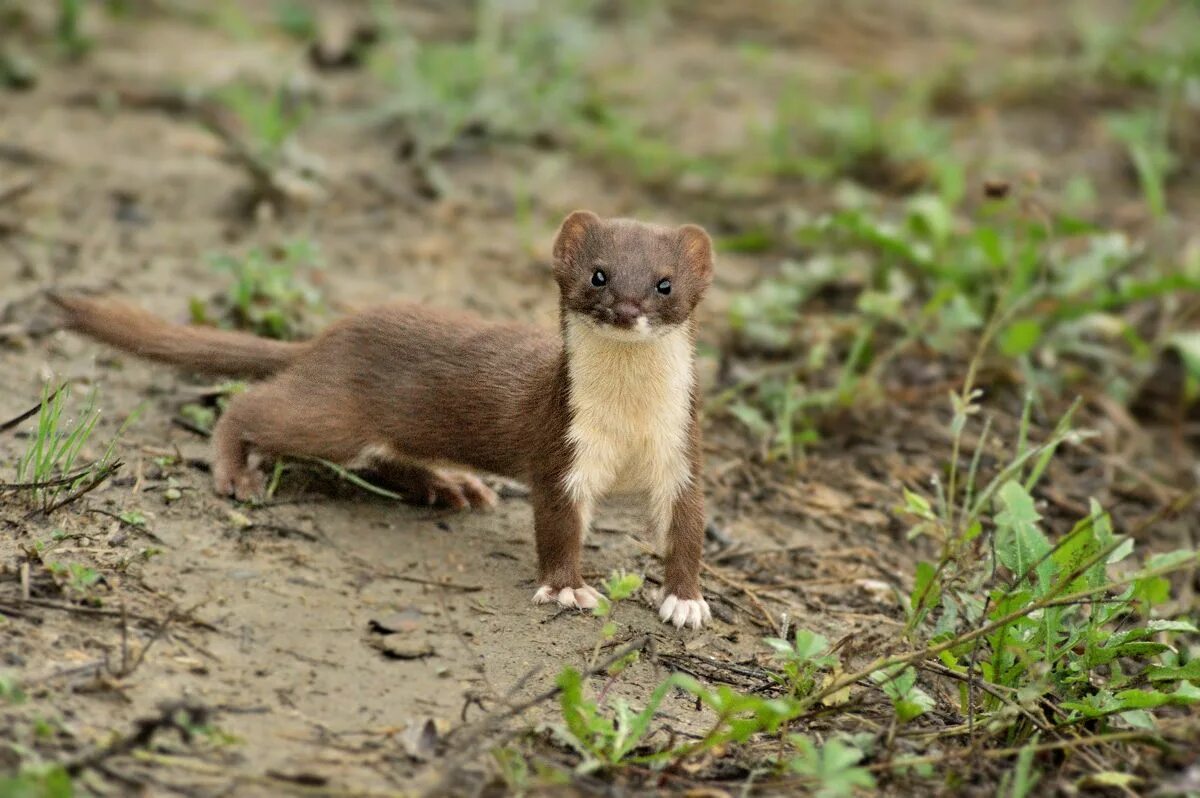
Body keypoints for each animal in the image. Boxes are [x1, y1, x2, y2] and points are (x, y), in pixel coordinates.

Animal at [49, 211, 710, 628]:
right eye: (598, 274)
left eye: (664, 284)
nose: (626, 309)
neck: (629, 422)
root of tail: (328, 336)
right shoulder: (561, 450)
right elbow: (557, 526)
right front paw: (568, 588)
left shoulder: (683, 453)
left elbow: (687, 530)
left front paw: (685, 602)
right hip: (332, 417)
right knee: (251, 406)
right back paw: (237, 473)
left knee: (387, 459)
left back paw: (451, 486)